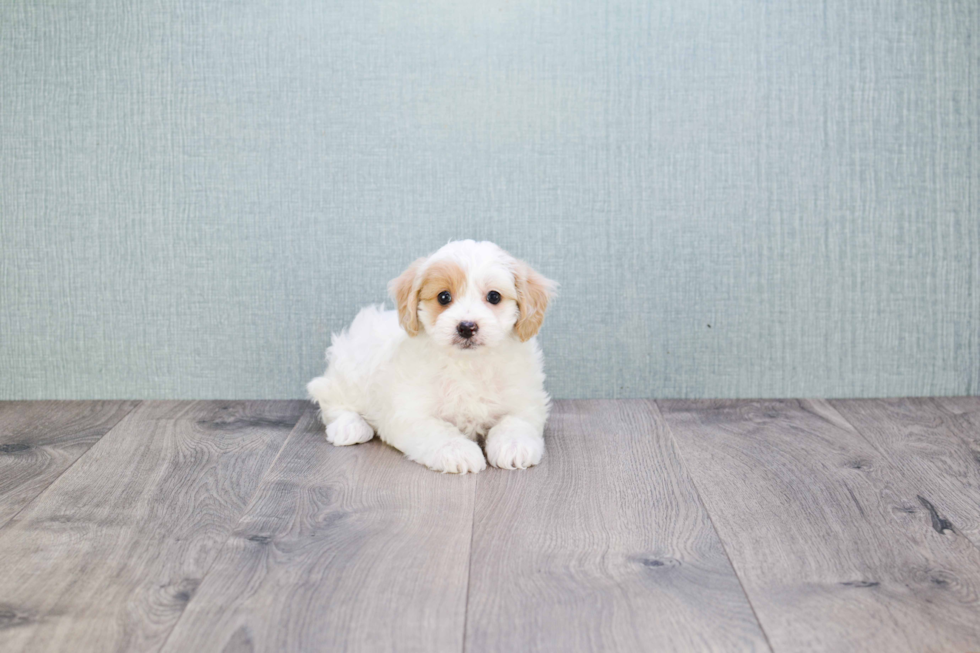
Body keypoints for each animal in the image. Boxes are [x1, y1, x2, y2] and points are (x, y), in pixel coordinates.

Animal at [310, 239, 556, 474]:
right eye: (444, 297)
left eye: (494, 296)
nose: (467, 327)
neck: (468, 363)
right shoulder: (410, 412)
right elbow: (438, 431)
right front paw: (458, 451)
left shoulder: (526, 400)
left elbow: (516, 421)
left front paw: (514, 445)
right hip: (349, 371)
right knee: (331, 398)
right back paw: (349, 426)